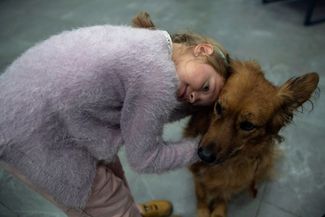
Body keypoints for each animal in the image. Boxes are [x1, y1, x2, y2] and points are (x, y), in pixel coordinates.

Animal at [184, 59, 318, 217]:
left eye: (248, 126)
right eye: (218, 107)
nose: (204, 155)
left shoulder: (232, 182)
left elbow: (223, 194)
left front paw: (219, 210)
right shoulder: (197, 174)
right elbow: (201, 193)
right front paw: (203, 210)